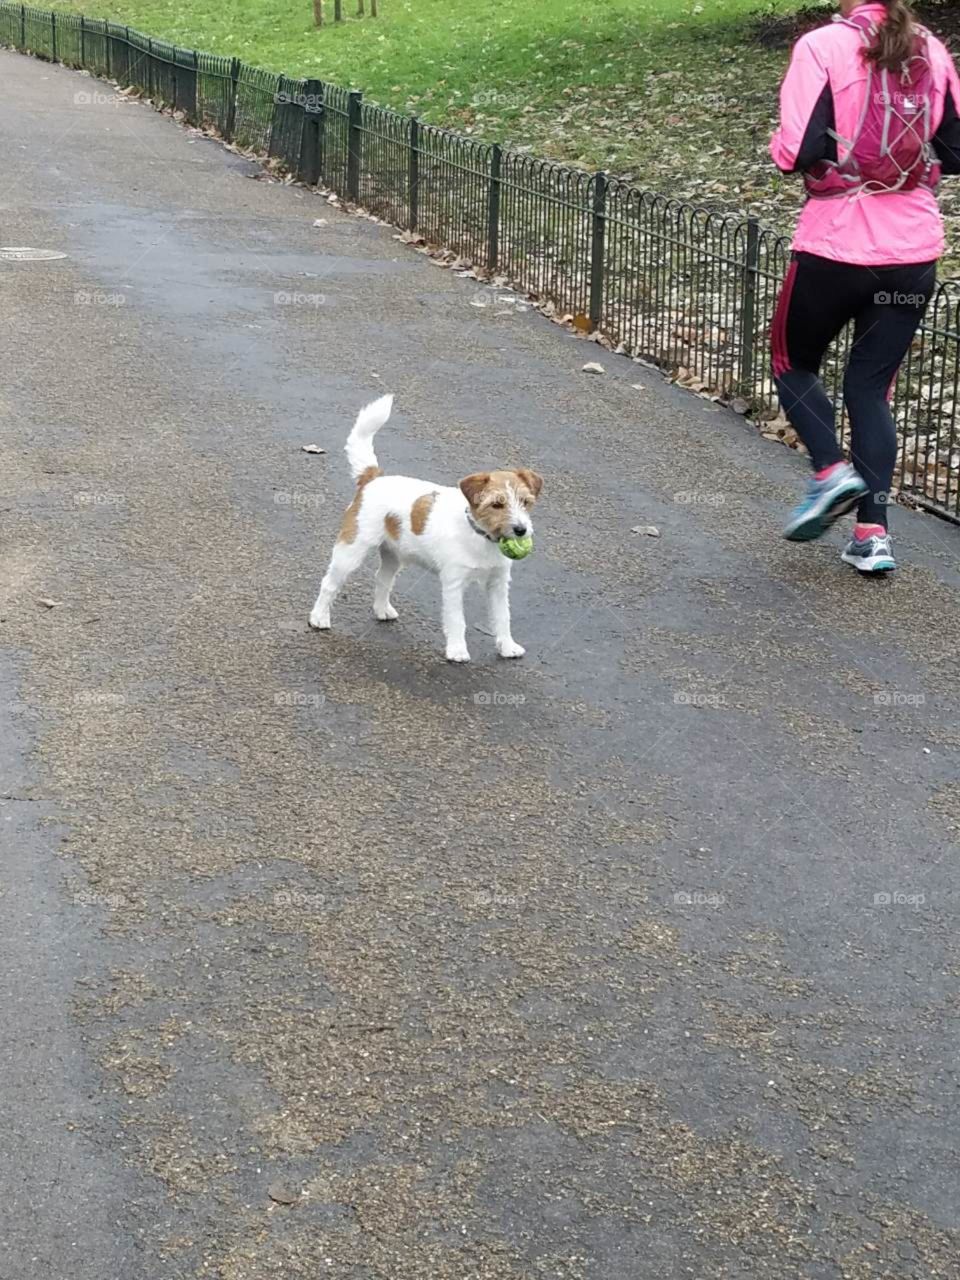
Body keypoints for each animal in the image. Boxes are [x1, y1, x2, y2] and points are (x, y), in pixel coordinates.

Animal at [312, 394, 545, 665]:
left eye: (526, 502)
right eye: (497, 504)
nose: (520, 530)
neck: (480, 536)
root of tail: (373, 478)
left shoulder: (498, 584)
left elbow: (502, 618)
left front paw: (507, 647)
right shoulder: (453, 583)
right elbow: (456, 620)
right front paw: (457, 650)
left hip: (393, 553)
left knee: (382, 579)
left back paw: (382, 610)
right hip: (351, 551)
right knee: (329, 583)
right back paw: (319, 617)